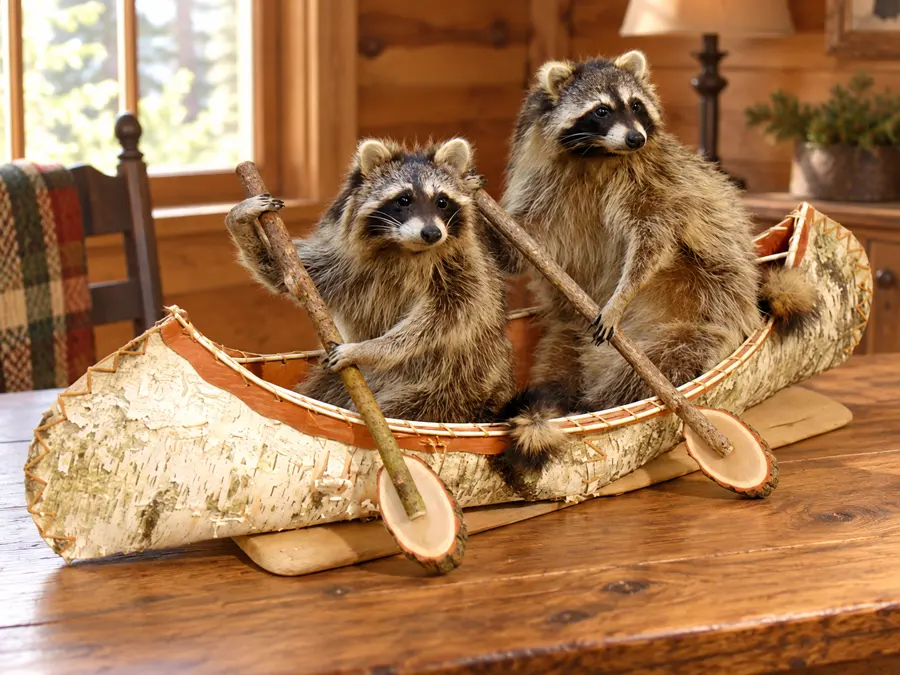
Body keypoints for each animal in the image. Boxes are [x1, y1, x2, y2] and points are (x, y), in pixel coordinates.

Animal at [225, 137, 516, 423]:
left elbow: (447, 316)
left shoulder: (465, 269)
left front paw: (371, 348)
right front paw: (239, 219)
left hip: (449, 388)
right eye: (404, 199)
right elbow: (284, 274)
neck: (404, 249)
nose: (432, 233)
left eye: (442, 201)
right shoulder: (341, 262)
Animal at [496, 51, 815, 484]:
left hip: (704, 309)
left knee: (668, 361)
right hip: (568, 332)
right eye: (600, 110)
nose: (636, 138)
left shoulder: (654, 177)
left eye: (636, 106)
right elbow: (526, 236)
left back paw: (598, 402)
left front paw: (622, 293)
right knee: (558, 359)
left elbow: (655, 236)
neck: (595, 155)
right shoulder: (542, 180)